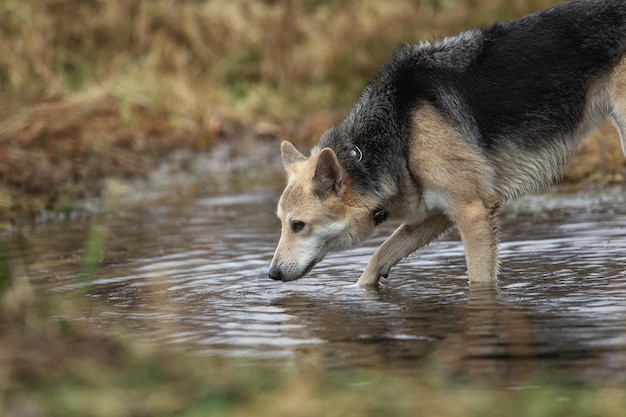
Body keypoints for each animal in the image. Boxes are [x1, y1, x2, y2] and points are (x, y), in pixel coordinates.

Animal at [266, 0, 624, 284]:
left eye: (298, 225)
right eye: (282, 224)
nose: (272, 274)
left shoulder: (473, 211)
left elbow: (479, 282)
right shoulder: (438, 213)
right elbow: (377, 259)